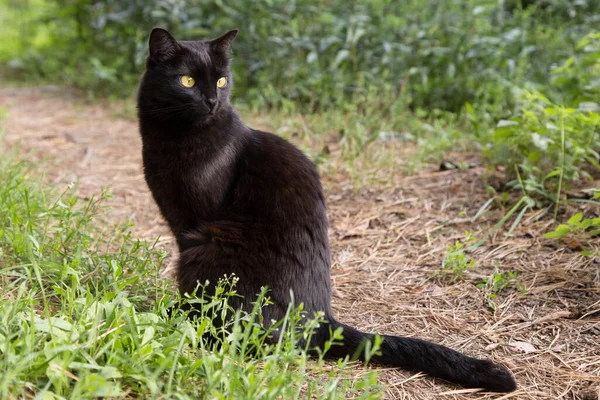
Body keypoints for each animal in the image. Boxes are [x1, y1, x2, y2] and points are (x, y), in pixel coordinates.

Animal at [136, 27, 516, 390]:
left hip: (207, 245)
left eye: (220, 80)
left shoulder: (191, 224)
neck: (174, 139)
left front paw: (176, 315)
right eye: (187, 81)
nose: (214, 101)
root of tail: (322, 323)